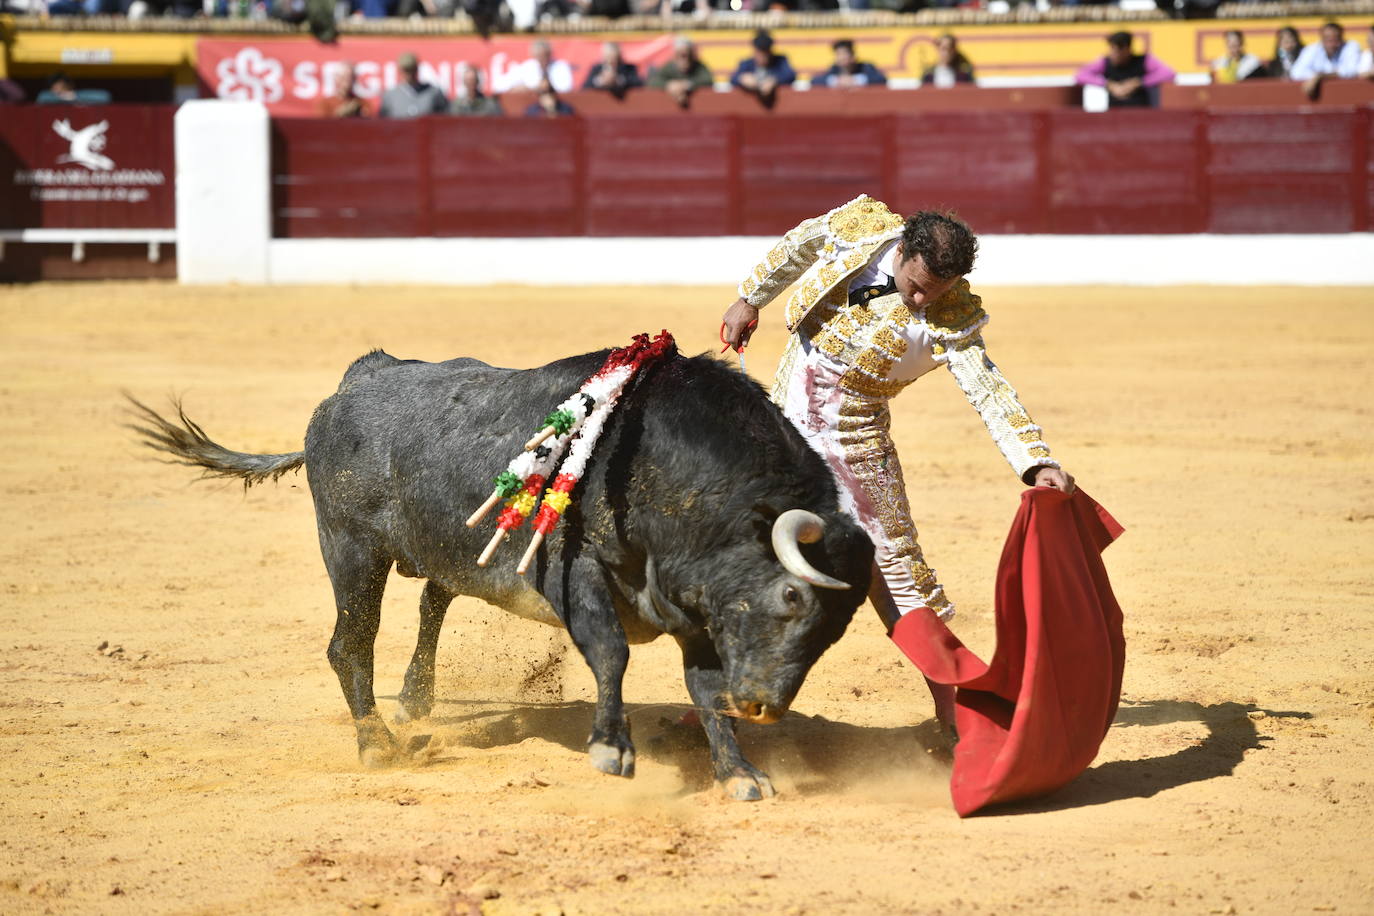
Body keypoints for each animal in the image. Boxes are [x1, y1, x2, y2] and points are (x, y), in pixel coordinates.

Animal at [133, 346, 873, 802]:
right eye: (790, 594)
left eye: (837, 631)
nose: (765, 706)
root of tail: (355, 381)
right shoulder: (572, 575)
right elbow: (611, 653)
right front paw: (611, 749)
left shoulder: (699, 613)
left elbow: (706, 691)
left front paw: (740, 774)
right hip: (351, 550)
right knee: (350, 644)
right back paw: (376, 743)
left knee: (432, 600)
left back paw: (415, 704)